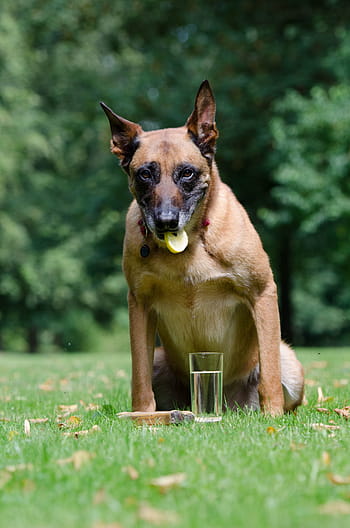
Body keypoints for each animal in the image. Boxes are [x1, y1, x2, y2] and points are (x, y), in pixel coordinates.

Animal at [100, 80, 304, 414]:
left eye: (187, 172)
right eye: (145, 174)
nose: (166, 221)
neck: (189, 249)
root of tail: (221, 404)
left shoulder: (263, 292)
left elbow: (270, 374)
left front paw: (272, 413)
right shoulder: (139, 305)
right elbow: (139, 379)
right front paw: (141, 416)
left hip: (290, 363)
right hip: (159, 358)